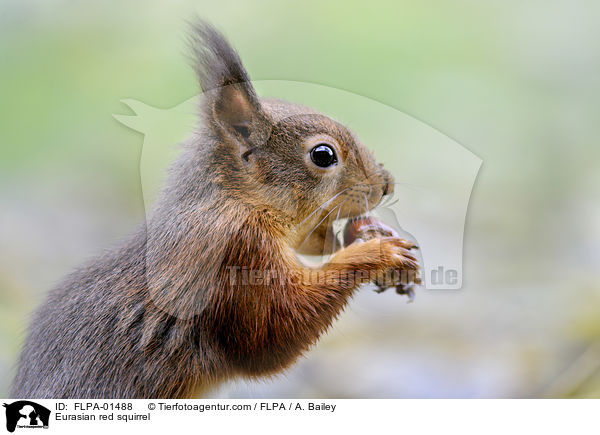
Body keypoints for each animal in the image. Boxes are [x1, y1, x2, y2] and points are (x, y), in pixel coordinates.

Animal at [11, 22, 420, 400]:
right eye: (323, 155)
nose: (386, 185)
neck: (236, 200)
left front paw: (370, 233)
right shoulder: (236, 254)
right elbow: (272, 335)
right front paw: (378, 252)